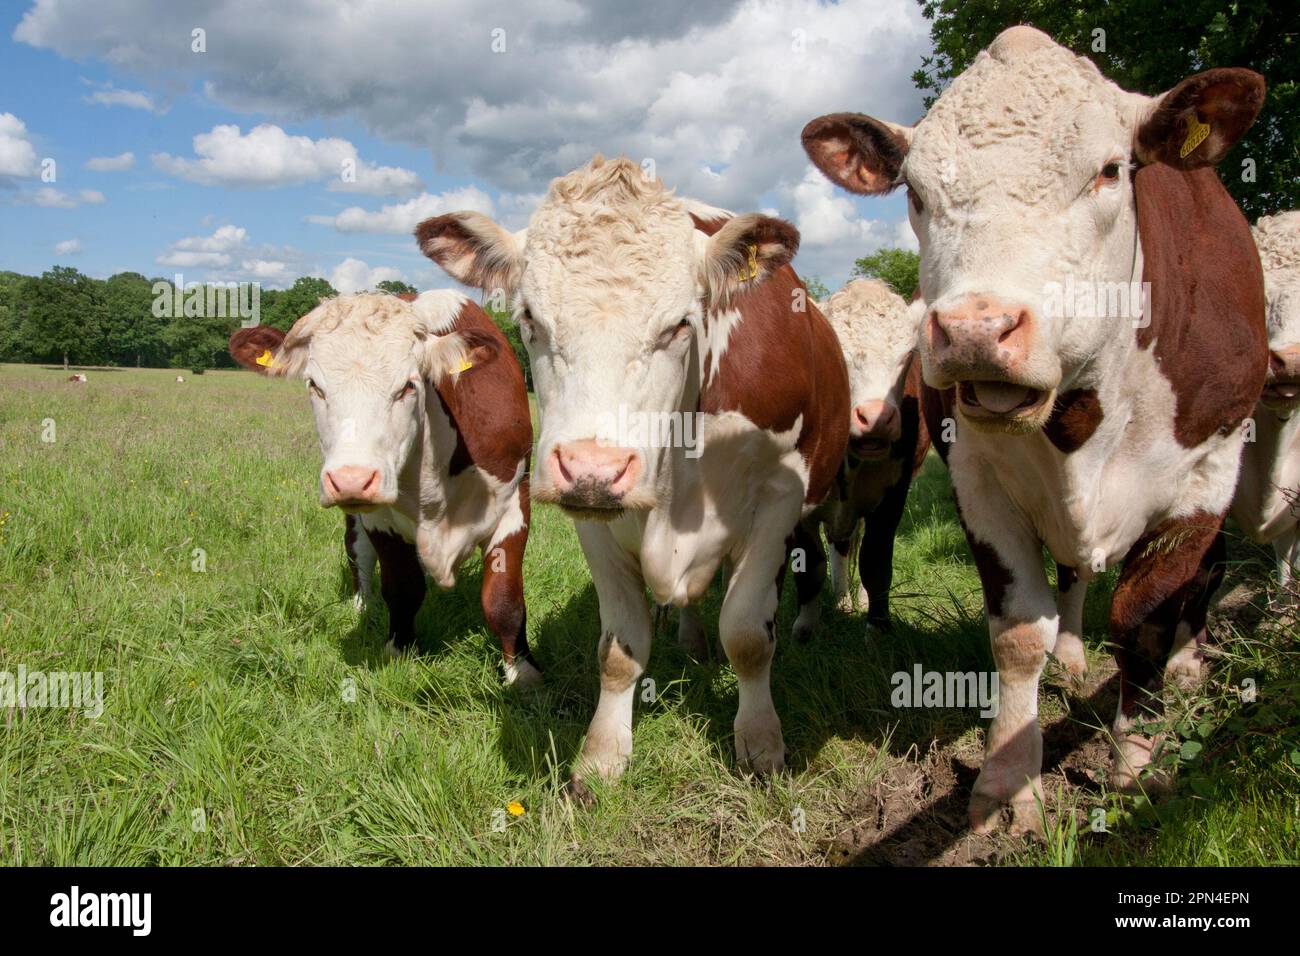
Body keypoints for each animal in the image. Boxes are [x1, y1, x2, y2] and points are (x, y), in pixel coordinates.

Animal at [228, 291, 538, 686]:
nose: (351, 479)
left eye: (408, 385)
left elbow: (503, 600)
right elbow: (403, 589)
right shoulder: (380, 520)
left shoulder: (514, 501)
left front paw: (522, 674)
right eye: (314, 385)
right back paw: (363, 603)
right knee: (357, 552)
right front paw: (400, 652)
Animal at [410, 157, 847, 796]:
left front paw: (762, 744)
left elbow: (746, 634)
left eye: (681, 324)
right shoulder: (594, 520)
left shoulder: (778, 499)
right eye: (529, 318)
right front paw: (602, 756)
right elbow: (618, 650)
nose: (594, 468)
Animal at [795, 277, 930, 639]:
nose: (876, 418)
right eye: (835, 354)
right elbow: (809, 563)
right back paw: (842, 600)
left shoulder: (893, 497)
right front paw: (805, 628)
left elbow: (876, 561)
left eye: (907, 356)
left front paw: (878, 628)